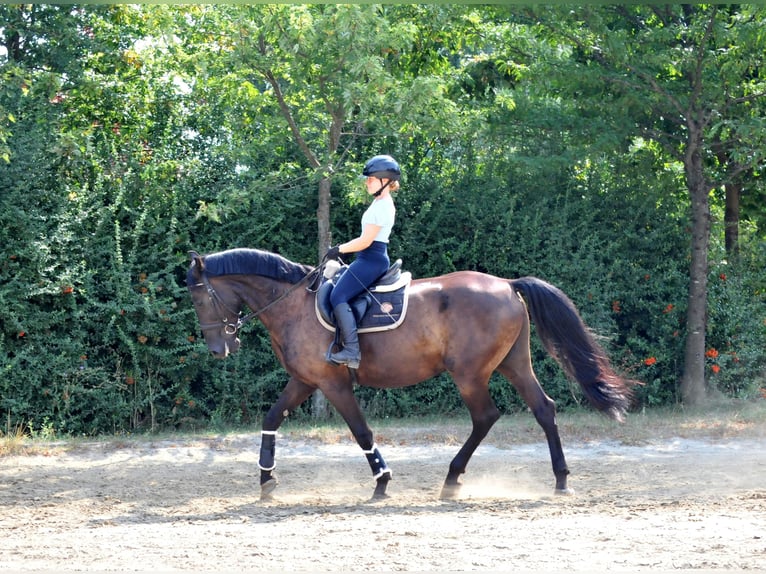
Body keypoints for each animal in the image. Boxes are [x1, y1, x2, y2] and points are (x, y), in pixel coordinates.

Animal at [186, 250, 636, 502]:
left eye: (199, 297)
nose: (218, 349)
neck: (292, 304)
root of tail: (507, 285)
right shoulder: (305, 380)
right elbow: (271, 419)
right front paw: (266, 478)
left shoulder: (333, 383)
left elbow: (361, 432)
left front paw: (382, 482)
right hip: (513, 363)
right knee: (544, 409)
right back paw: (559, 480)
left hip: (469, 373)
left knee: (486, 417)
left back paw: (453, 478)